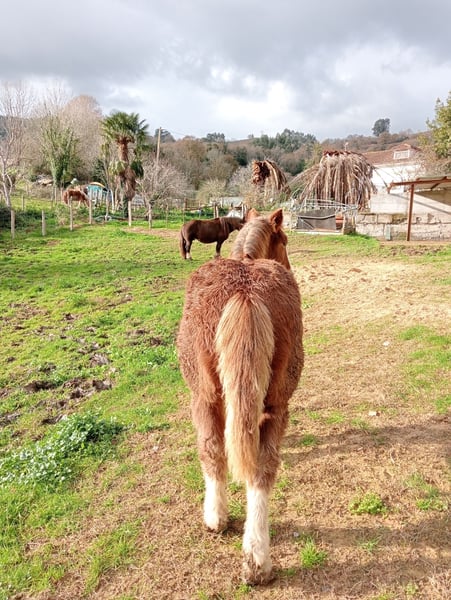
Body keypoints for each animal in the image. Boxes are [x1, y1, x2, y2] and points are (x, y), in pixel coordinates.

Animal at [177, 208, 304, 584]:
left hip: (203, 397)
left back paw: (218, 521)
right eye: (284, 241)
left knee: (213, 452)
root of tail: (246, 295)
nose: (290, 264)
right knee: (262, 467)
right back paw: (257, 558)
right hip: (275, 403)